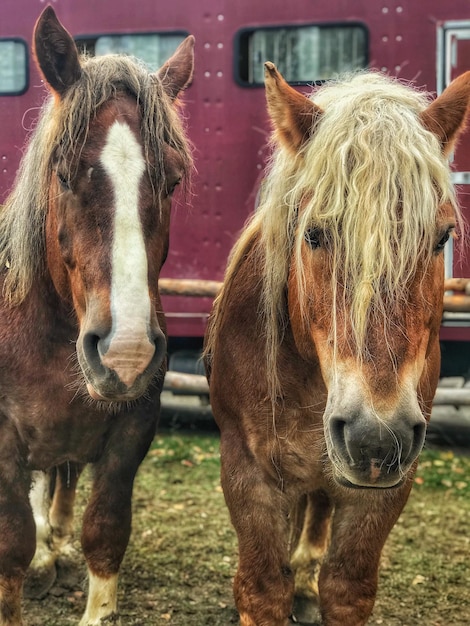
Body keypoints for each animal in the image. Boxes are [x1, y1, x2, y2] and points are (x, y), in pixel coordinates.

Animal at [0, 6, 194, 624]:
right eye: (63, 174)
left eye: (173, 179)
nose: (126, 353)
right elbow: (11, 544)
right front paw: (33, 560)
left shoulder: (131, 433)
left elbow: (104, 532)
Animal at [205, 64, 470, 624]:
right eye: (313, 234)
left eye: (441, 238)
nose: (377, 436)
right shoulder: (248, 474)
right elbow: (262, 588)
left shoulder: (381, 494)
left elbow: (347, 587)